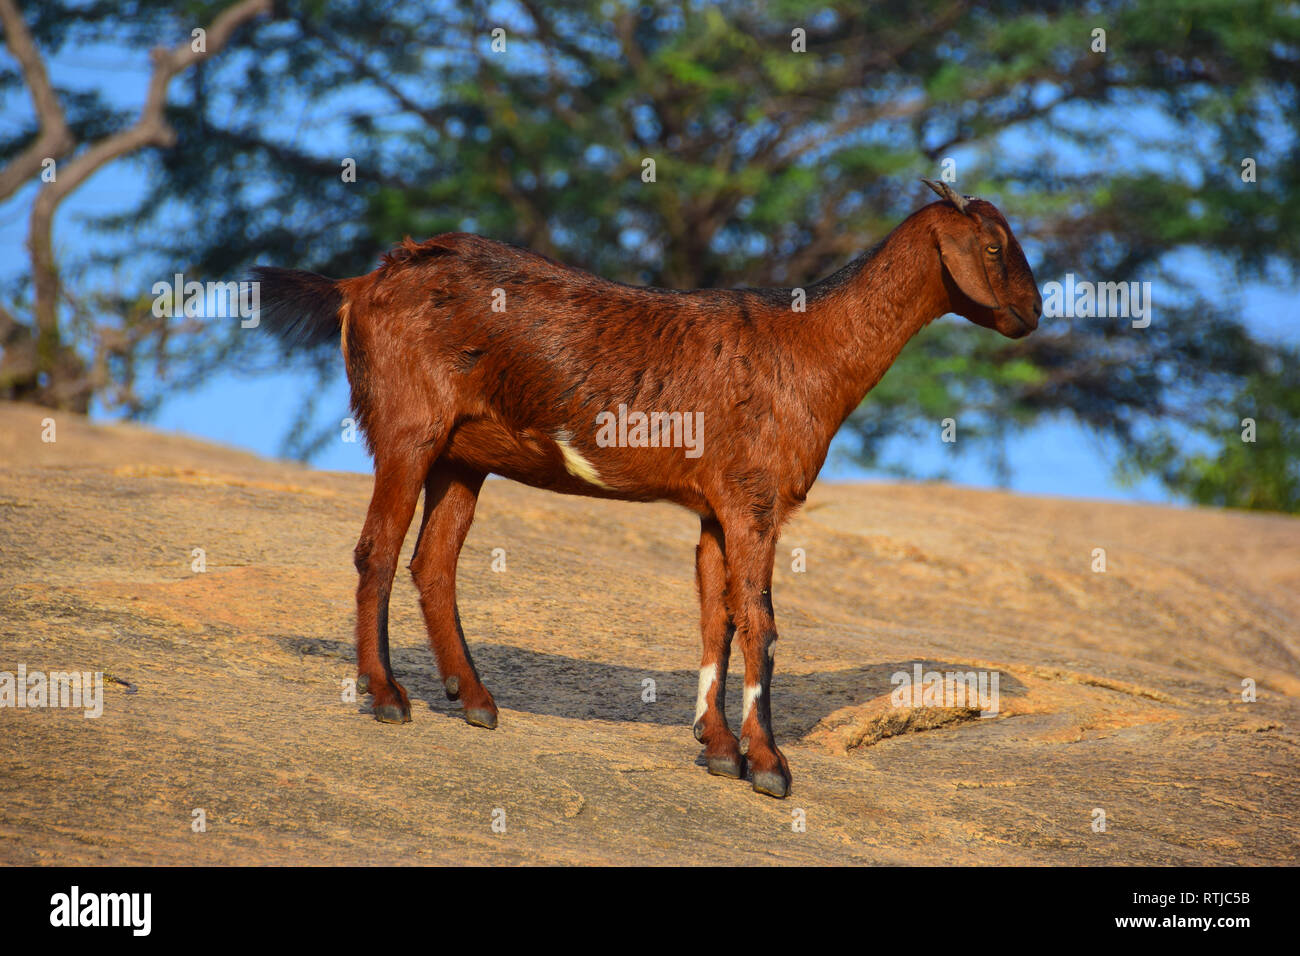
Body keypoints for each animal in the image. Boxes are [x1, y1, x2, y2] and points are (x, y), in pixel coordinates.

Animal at [250, 179, 1045, 801]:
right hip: (408, 429)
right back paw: (387, 697)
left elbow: (716, 614)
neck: (810, 346)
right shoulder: (754, 498)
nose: (1034, 313)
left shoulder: (716, 506)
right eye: (995, 247)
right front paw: (770, 765)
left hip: (460, 456)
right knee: (378, 550)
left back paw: (474, 701)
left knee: (433, 562)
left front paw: (717, 748)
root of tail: (361, 285)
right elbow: (761, 621)